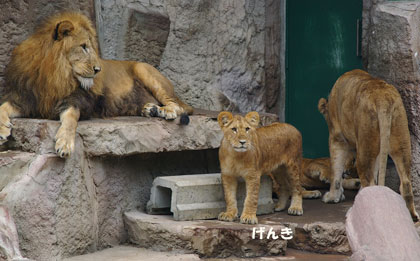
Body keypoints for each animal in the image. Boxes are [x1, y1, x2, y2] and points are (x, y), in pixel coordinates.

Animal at [0, 12, 192, 157]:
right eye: (83, 46)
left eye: (90, 47)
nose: (98, 69)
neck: (56, 74)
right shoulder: (26, 99)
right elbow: (2, 107)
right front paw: (3, 130)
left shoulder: (77, 101)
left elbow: (71, 117)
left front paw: (65, 143)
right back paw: (150, 109)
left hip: (144, 69)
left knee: (178, 106)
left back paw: (164, 111)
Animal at [320, 68, 418, 219]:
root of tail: (383, 98)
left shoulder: (337, 137)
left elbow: (336, 170)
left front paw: (332, 197)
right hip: (399, 139)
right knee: (406, 182)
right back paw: (412, 216)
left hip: (365, 145)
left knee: (369, 182)